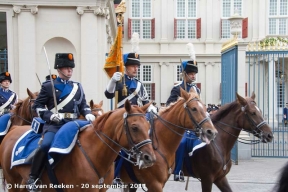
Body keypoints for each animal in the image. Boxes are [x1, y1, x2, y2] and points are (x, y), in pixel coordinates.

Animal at [0, 100, 158, 191]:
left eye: (148, 126)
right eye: (134, 127)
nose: (150, 158)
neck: (94, 153)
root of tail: (14, 129)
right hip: (12, 181)